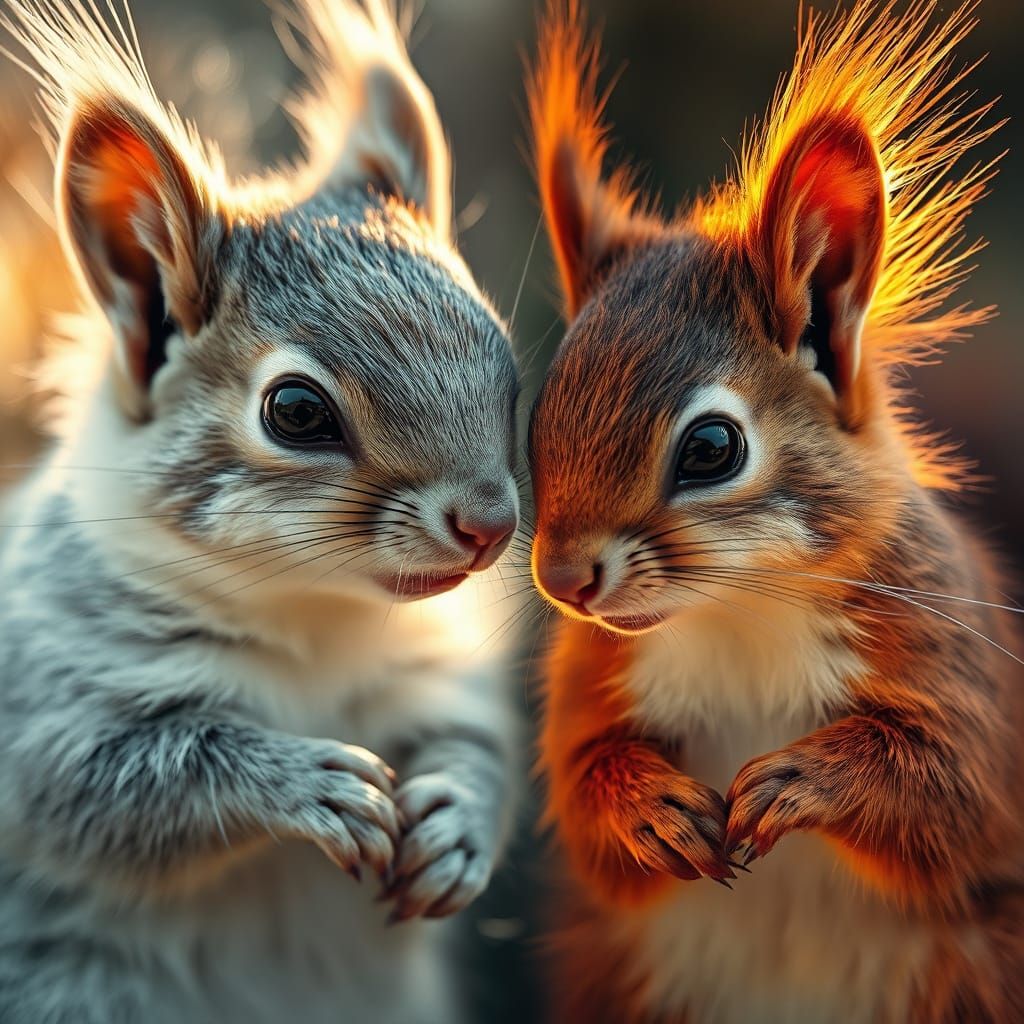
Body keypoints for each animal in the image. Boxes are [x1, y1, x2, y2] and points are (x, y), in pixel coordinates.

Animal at [0, 2, 521, 1022]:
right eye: (296, 411)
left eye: (507, 364)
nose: (490, 527)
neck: (319, 618)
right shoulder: (38, 691)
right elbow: (105, 784)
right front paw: (301, 783)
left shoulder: (438, 673)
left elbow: (480, 743)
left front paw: (458, 821)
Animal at [526, 1, 1023, 1022]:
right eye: (540, 407)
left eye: (713, 448)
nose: (560, 579)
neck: (739, 611)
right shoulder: (598, 681)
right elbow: (586, 801)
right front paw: (645, 809)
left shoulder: (958, 668)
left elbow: (953, 797)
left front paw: (806, 778)